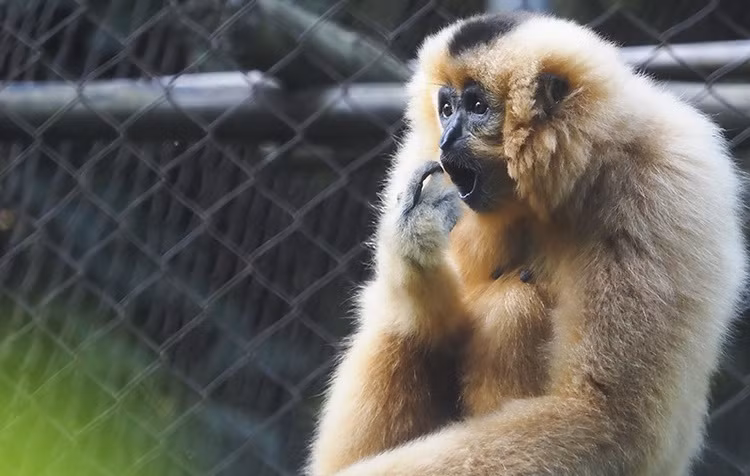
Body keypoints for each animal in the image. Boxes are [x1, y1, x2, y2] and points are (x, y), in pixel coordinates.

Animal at [307, 11, 747, 476]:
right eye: (446, 108)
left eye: (477, 107)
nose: (446, 139)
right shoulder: (420, 157)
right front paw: (413, 237)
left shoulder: (663, 187)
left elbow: (604, 419)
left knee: (514, 303)